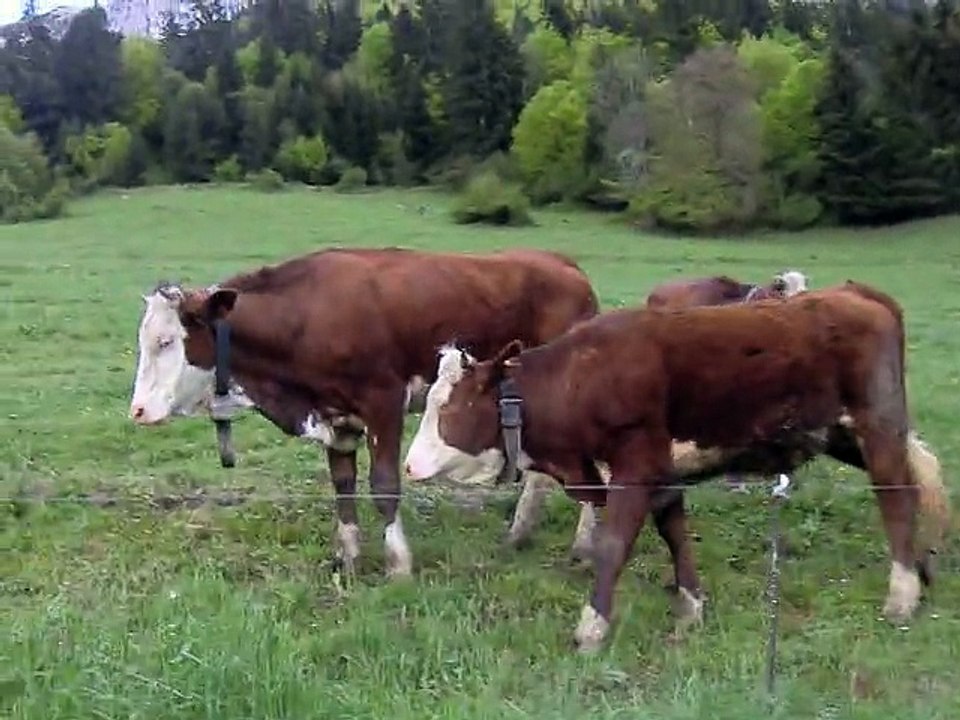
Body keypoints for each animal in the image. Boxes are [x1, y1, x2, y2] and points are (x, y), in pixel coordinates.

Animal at [129, 246, 601, 579]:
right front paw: (350, 555)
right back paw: (522, 533)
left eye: (167, 342)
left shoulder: (383, 402)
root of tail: (561, 263)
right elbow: (343, 485)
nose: (137, 411)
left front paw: (399, 564)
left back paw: (580, 545)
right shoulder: (336, 416)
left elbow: (385, 486)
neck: (307, 320)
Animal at [402, 281, 950, 651]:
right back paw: (921, 569)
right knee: (913, 478)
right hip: (838, 433)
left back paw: (902, 594)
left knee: (896, 495)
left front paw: (591, 628)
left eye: (451, 408)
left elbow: (613, 546)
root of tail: (856, 293)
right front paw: (690, 608)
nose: (409, 466)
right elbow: (675, 533)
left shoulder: (636, 463)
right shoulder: (660, 472)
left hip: (876, 424)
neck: (582, 379)